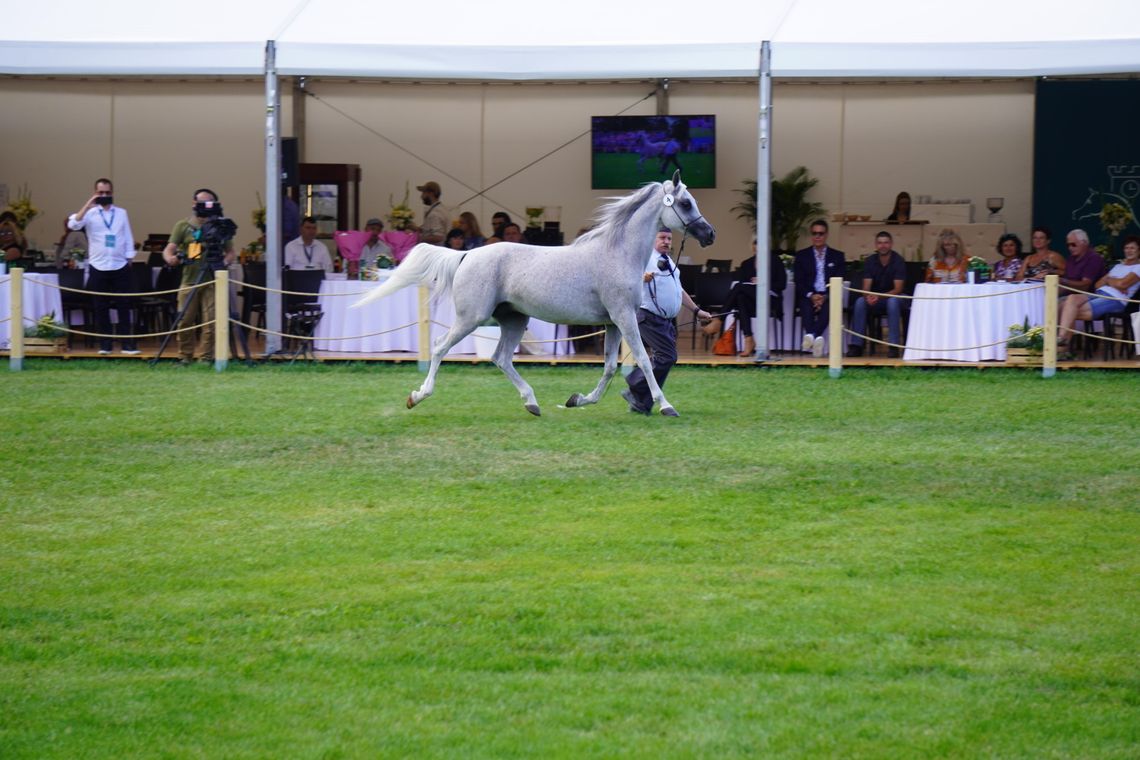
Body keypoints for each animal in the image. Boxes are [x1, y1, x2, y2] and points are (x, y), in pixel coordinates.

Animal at [351, 174, 715, 417]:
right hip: (471, 318)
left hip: (514, 319)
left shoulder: (612, 322)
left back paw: (532, 403)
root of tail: (466, 255)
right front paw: (666, 406)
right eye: (685, 203)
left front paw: (578, 400)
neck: (616, 253)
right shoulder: (624, 317)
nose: (709, 233)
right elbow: (643, 360)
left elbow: (612, 367)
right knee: (441, 347)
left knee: (500, 358)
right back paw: (417, 396)